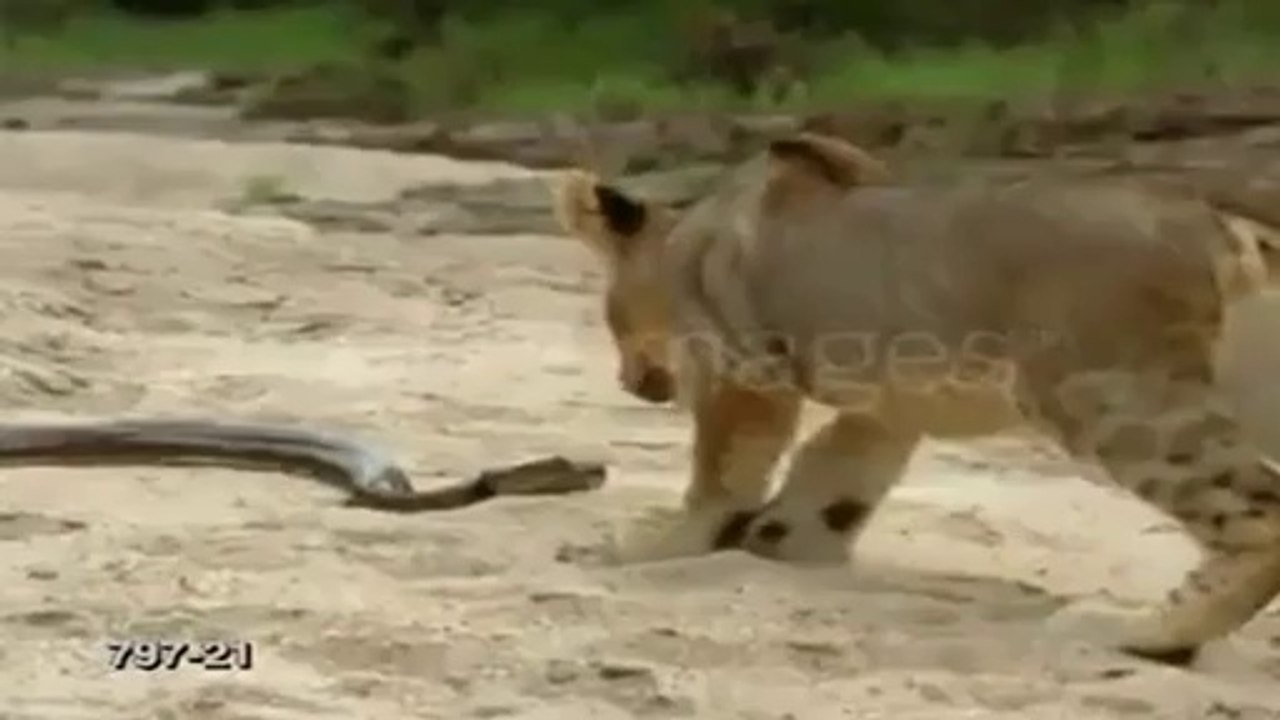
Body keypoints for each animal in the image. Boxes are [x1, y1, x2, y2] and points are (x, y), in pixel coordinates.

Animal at [552, 130, 1280, 667]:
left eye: (609, 316)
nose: (628, 382)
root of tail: (1223, 225)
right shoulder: (893, 401)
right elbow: (834, 475)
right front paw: (782, 542)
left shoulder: (744, 372)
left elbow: (722, 473)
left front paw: (652, 546)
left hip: (1106, 392)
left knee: (1257, 511)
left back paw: (1142, 631)